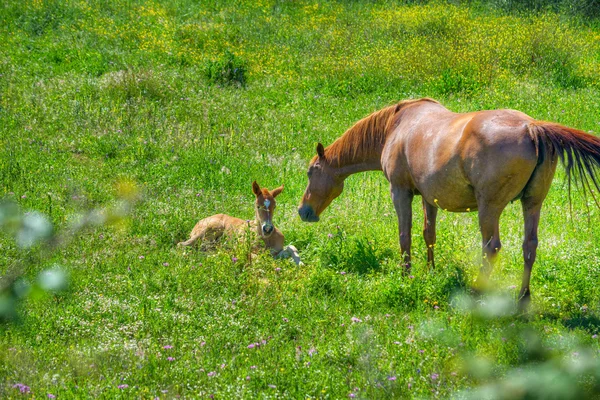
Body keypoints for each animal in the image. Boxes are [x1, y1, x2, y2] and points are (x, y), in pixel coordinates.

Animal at [300, 97, 600, 306]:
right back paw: (523, 297)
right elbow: (428, 234)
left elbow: (404, 235)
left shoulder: (400, 192)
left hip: (489, 208)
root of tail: (531, 127)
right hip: (532, 203)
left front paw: (406, 276)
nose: (304, 211)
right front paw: (430, 270)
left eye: (311, 172)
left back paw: (478, 292)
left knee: (491, 247)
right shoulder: (428, 197)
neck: (394, 127)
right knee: (530, 246)